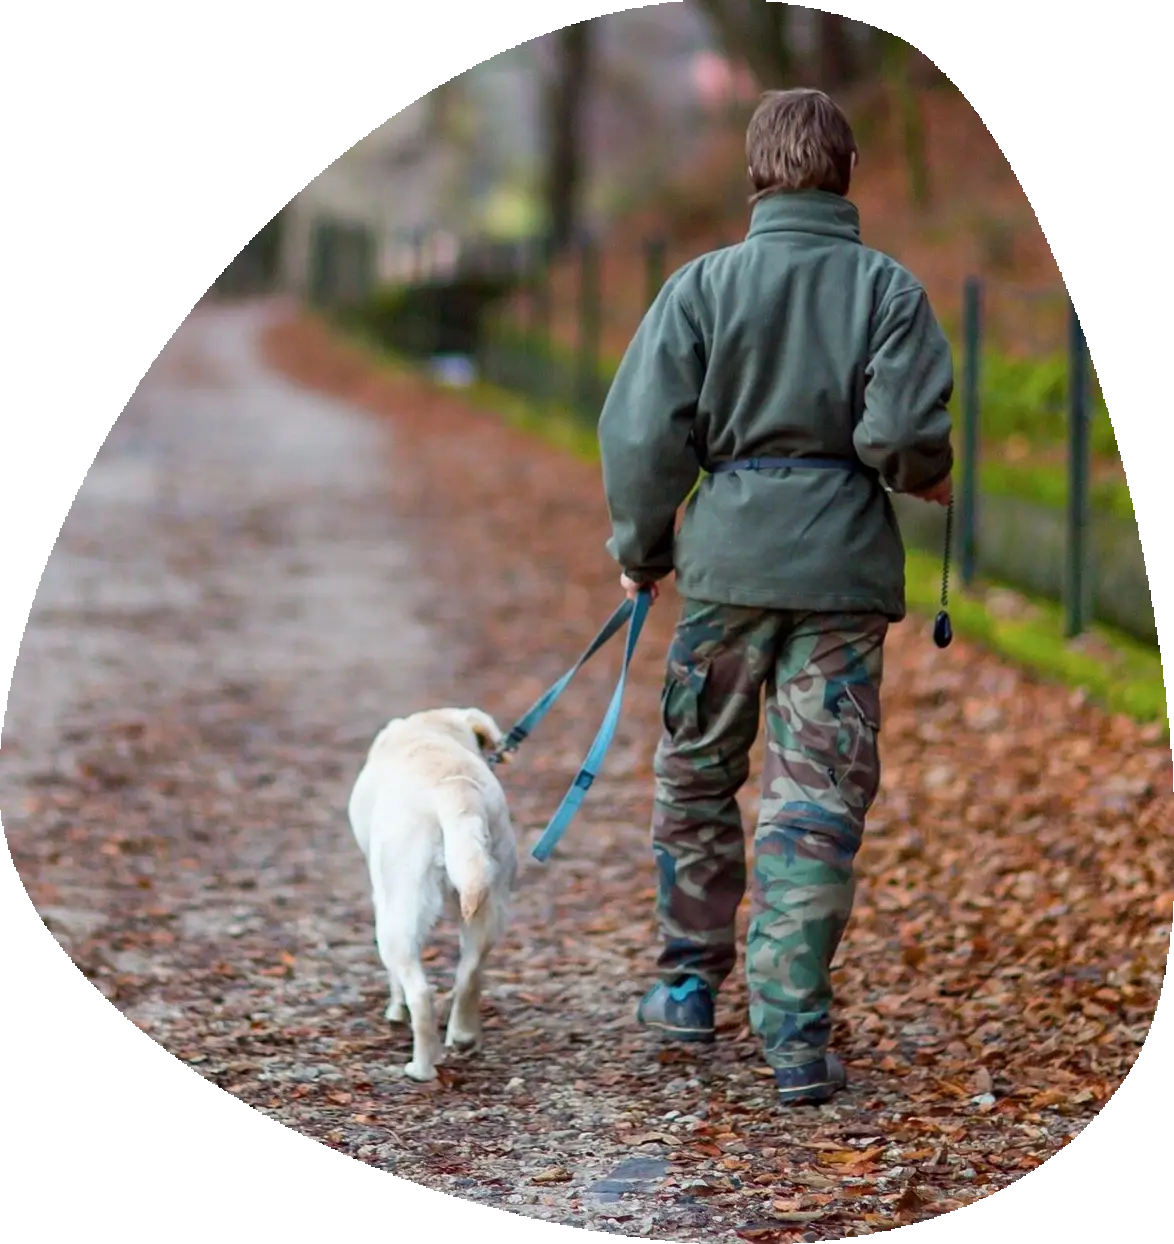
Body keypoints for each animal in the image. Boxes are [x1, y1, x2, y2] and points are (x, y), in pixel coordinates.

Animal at [343, 711, 517, 1079]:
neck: (432, 727)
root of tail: (454, 788)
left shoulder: (382, 898)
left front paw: (395, 1012)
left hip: (399, 915)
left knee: (420, 993)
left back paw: (420, 1068)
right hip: (489, 906)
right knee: (469, 973)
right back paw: (463, 1038)